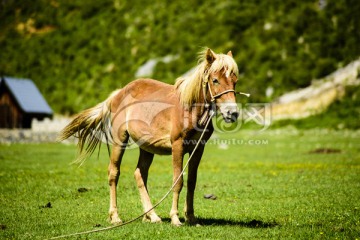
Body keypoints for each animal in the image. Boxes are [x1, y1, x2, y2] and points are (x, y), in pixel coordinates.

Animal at [58, 47, 239, 226]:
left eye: (235, 81)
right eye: (215, 80)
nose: (232, 113)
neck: (190, 108)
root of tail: (119, 93)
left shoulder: (198, 148)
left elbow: (191, 182)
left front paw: (191, 218)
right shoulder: (178, 146)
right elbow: (178, 182)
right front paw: (175, 218)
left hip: (147, 147)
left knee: (140, 174)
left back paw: (150, 216)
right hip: (120, 141)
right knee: (114, 173)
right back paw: (116, 217)